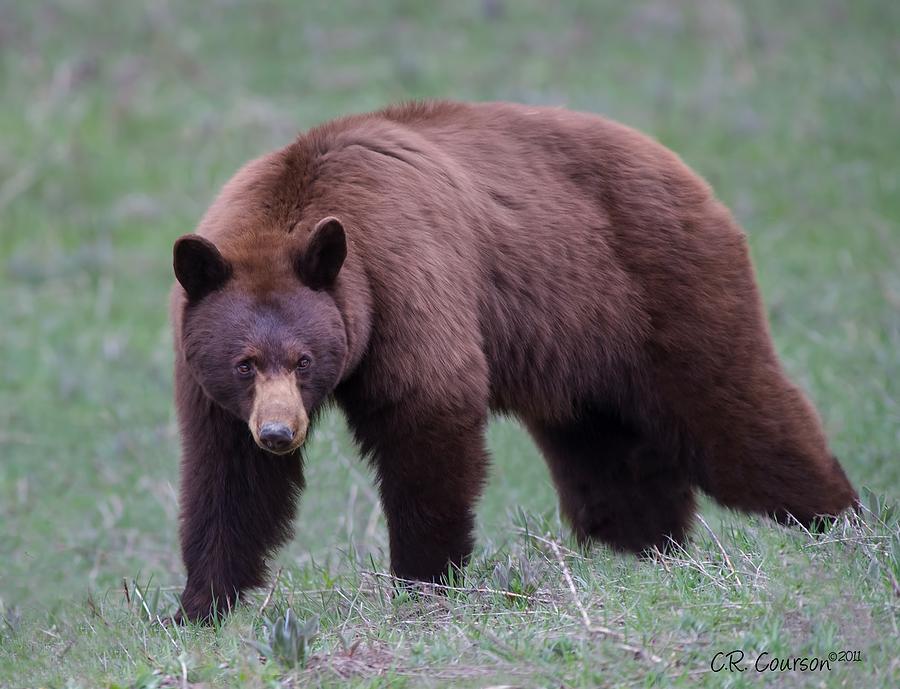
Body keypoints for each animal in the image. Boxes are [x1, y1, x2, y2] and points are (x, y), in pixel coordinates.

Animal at [171, 99, 856, 620]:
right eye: (245, 362)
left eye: (306, 359)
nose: (279, 432)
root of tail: (681, 168)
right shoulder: (211, 385)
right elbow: (228, 478)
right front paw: (200, 607)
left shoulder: (407, 284)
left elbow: (429, 421)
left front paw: (422, 583)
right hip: (589, 359)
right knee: (614, 462)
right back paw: (648, 553)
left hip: (668, 290)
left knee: (737, 414)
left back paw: (840, 523)